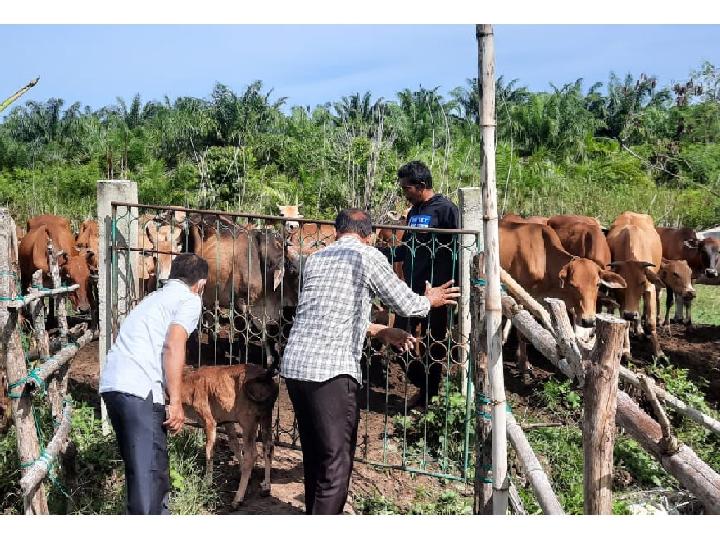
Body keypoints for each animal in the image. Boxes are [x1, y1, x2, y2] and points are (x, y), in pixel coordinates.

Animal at [181, 362, 278, 506]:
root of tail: (265, 376)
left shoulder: (209, 420)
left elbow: (209, 450)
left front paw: (208, 482)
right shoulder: (227, 421)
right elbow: (234, 445)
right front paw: (247, 473)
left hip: (248, 420)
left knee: (252, 454)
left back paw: (237, 499)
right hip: (266, 415)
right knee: (268, 447)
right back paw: (266, 486)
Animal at [608, 213, 664, 356]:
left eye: (642, 282)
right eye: (622, 284)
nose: (630, 314)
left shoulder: (650, 288)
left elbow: (651, 322)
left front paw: (659, 352)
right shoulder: (621, 297)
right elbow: (625, 322)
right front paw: (626, 350)